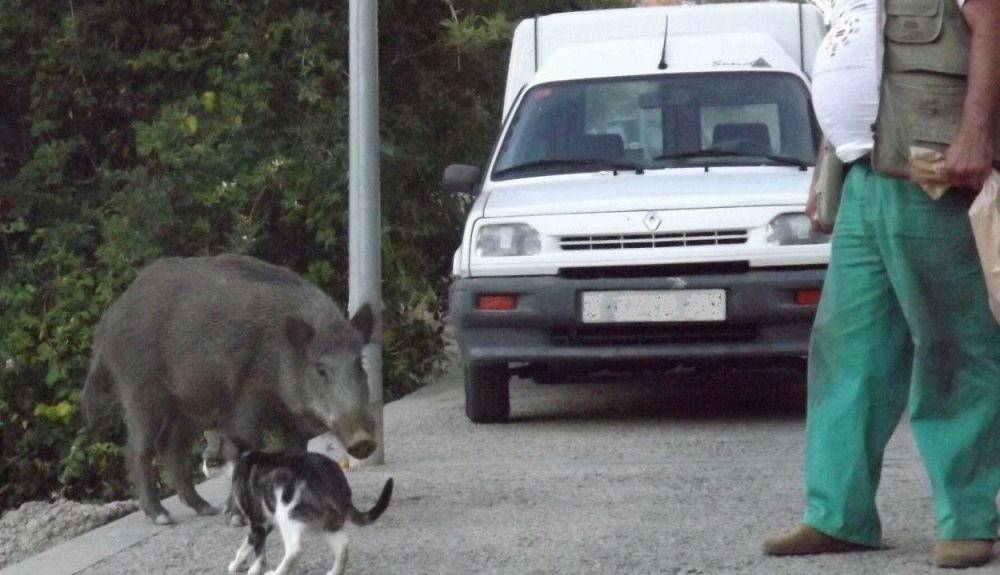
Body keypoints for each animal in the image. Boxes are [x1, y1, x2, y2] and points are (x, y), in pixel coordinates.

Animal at [201, 432, 392, 575]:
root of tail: (331, 477)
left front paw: (248, 568)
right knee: (343, 546)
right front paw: (244, 565)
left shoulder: (258, 519)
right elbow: (253, 546)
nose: (202, 470)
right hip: (327, 522)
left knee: (295, 550)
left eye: (205, 459)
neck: (241, 458)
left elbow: (254, 547)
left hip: (287, 512)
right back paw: (334, 571)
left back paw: (276, 572)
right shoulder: (266, 521)